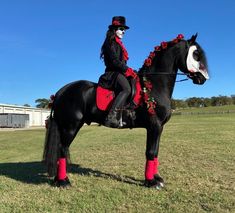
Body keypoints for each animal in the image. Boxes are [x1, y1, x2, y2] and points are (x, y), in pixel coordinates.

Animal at [43, 33, 208, 188]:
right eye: (196, 54)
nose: (202, 79)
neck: (153, 86)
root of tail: (60, 92)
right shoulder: (154, 126)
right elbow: (150, 152)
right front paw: (150, 182)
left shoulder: (159, 128)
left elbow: (155, 153)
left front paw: (157, 179)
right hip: (71, 126)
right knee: (62, 149)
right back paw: (63, 181)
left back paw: (60, 180)